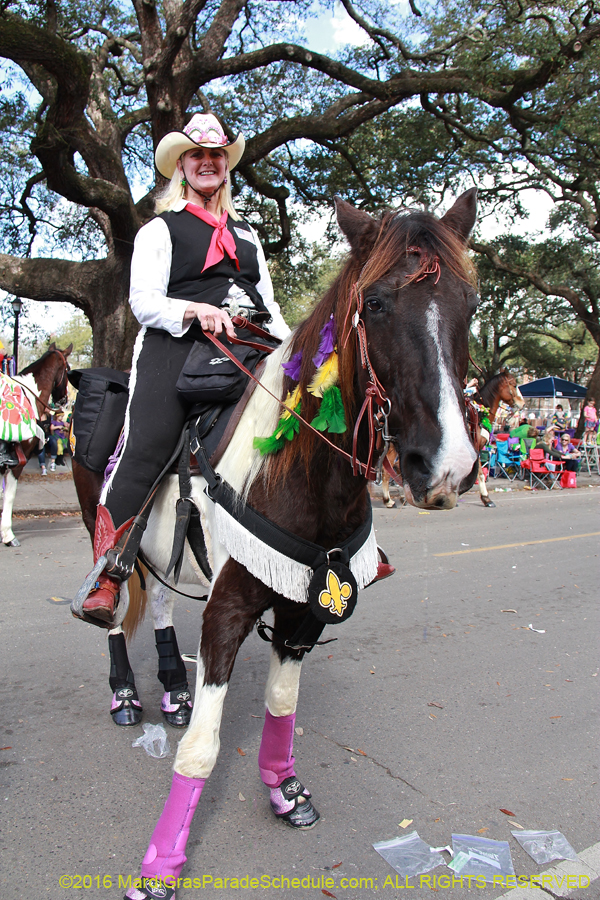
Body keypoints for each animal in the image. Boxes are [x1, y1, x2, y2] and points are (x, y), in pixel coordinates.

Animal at [81, 192, 482, 900]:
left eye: (470, 302)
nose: (448, 467)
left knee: (159, 603)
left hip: (164, 555)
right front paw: (160, 868)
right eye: (377, 303)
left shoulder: (305, 610)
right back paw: (126, 693)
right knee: (113, 599)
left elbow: (281, 705)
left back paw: (170, 688)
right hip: (105, 526)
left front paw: (283, 789)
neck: (297, 473)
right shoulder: (228, 610)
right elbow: (202, 750)